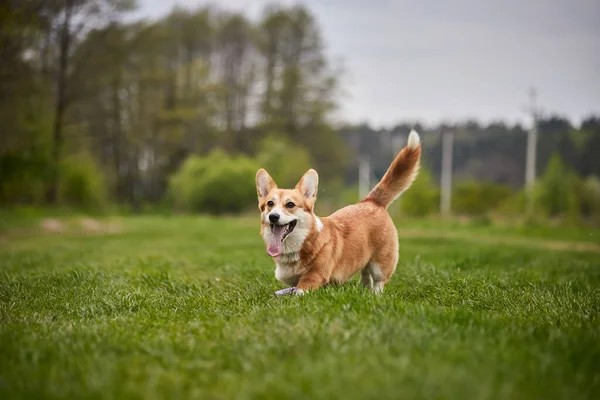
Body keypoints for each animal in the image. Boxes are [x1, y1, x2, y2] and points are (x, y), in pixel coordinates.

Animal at [256, 130, 422, 294]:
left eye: (290, 204)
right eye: (270, 204)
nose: (273, 216)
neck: (303, 242)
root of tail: (371, 201)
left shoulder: (315, 275)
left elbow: (300, 291)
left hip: (380, 264)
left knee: (378, 282)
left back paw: (376, 296)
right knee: (365, 276)